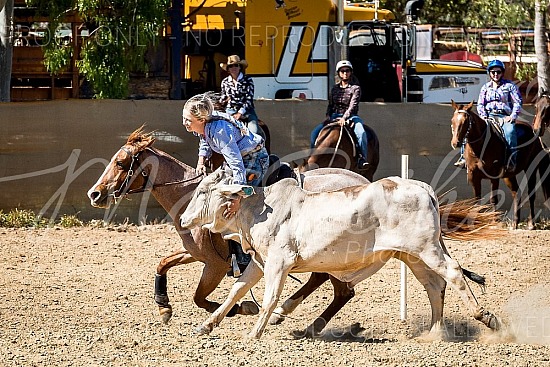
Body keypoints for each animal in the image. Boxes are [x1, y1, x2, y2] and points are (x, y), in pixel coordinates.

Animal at [450, 100, 550, 230]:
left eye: (465, 122)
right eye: (452, 120)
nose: (455, 143)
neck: (481, 146)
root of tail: (535, 135)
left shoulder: (494, 176)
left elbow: (494, 199)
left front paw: (494, 222)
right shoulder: (473, 176)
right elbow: (476, 200)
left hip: (530, 168)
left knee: (531, 193)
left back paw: (530, 224)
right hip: (509, 175)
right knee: (516, 193)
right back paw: (514, 223)